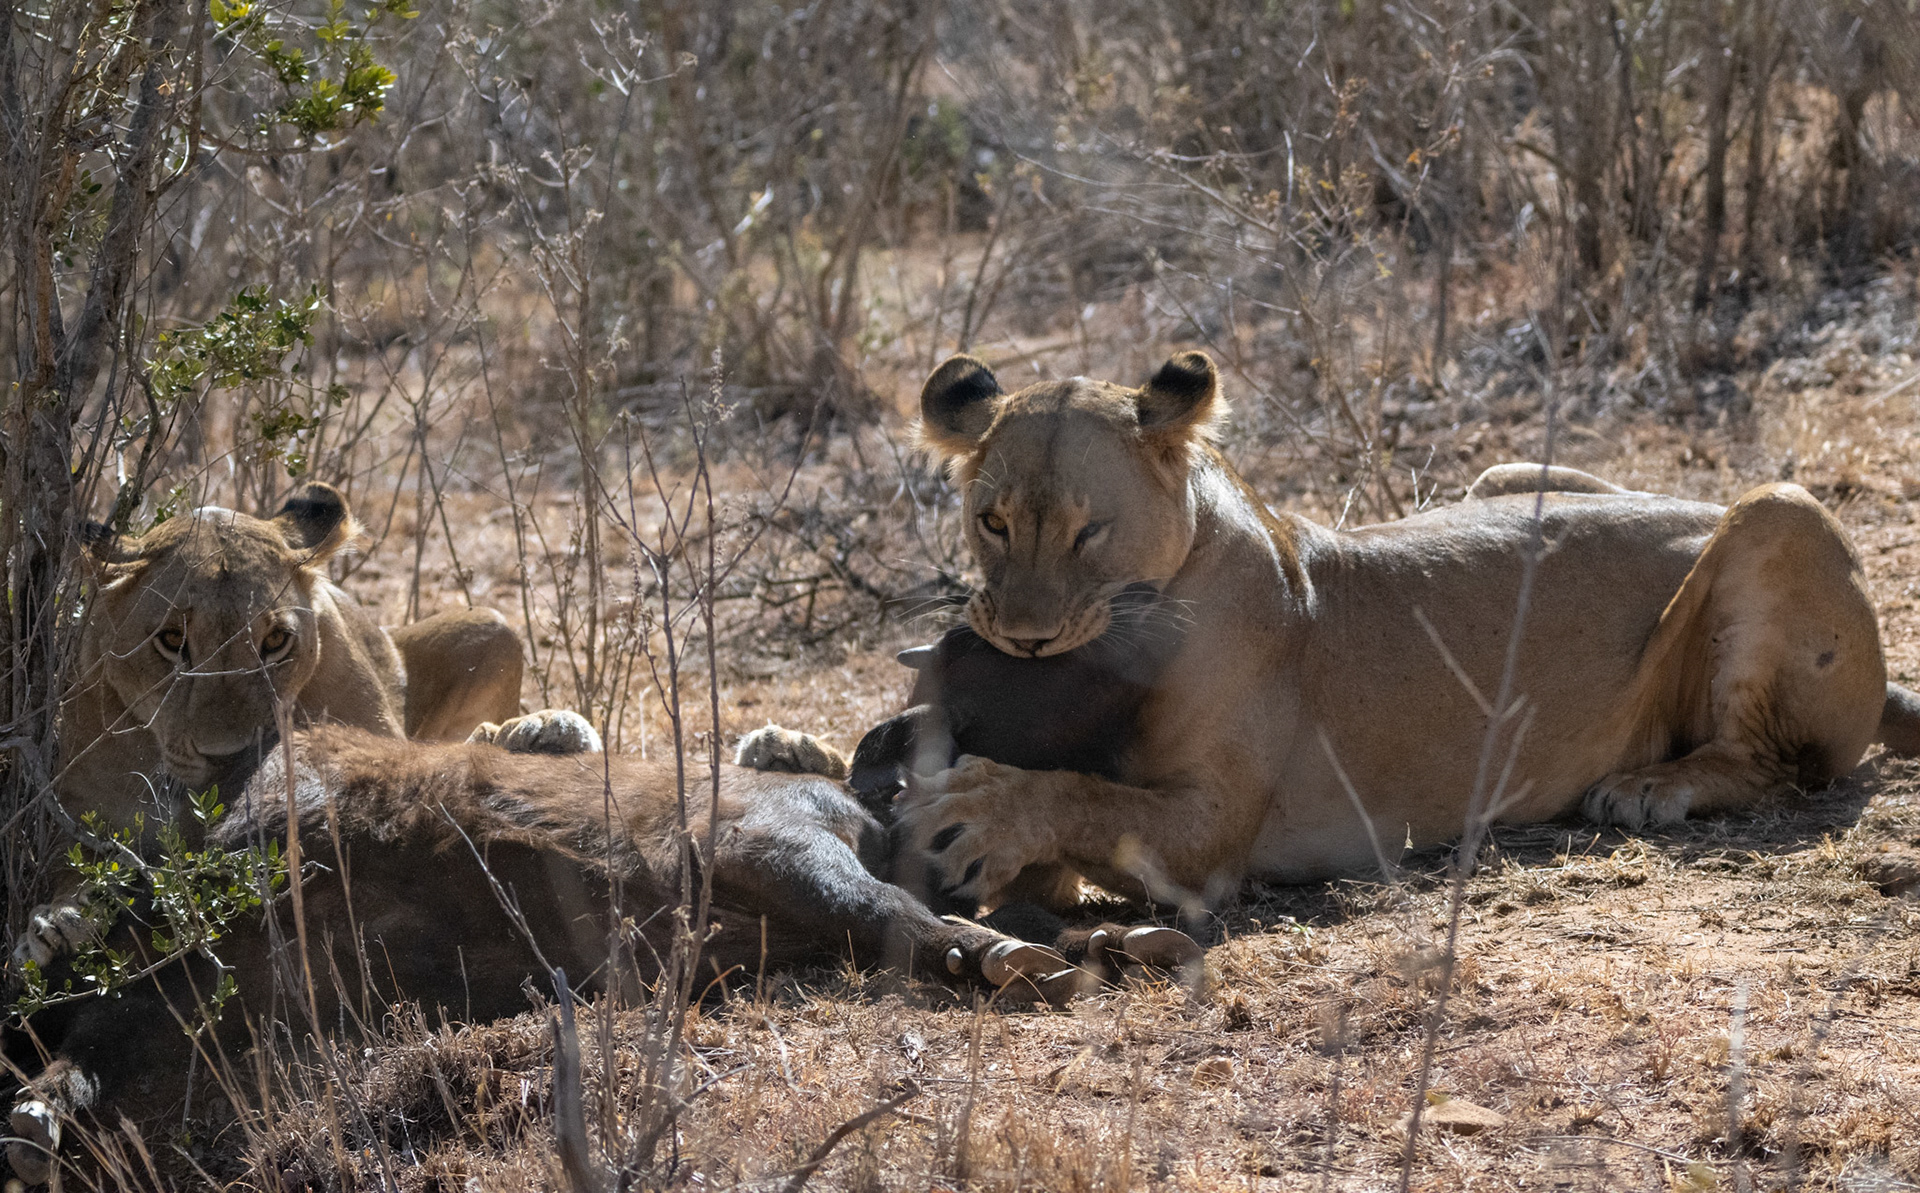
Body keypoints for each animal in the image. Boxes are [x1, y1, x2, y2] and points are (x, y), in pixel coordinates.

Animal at [4, 726, 1199, 1183]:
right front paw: (1034, 960)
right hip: (230, 886)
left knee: (107, 1028)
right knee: (99, 972)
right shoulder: (765, 841)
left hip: (232, 985)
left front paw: (1132, 941)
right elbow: (900, 910)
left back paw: (30, 1127)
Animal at [894, 350, 1920, 909]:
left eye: (1088, 529)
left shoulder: (1213, 834)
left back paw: (1647, 788)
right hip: (1507, 471)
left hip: (1778, 508)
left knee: (1779, 762)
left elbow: (1086, 796)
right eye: (992, 523)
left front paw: (980, 809)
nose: (1022, 639)